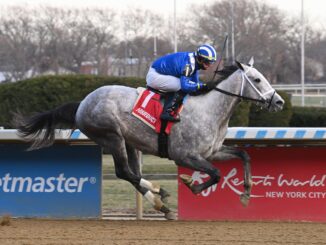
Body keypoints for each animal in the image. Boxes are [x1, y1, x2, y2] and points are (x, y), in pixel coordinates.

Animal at [16, 58, 284, 220]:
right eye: (257, 79)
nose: (279, 101)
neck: (210, 110)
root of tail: (82, 103)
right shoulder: (185, 155)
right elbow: (216, 174)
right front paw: (191, 184)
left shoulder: (211, 152)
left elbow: (243, 155)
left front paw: (246, 193)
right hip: (112, 137)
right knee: (124, 172)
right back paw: (158, 191)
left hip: (130, 142)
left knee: (131, 174)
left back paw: (160, 203)